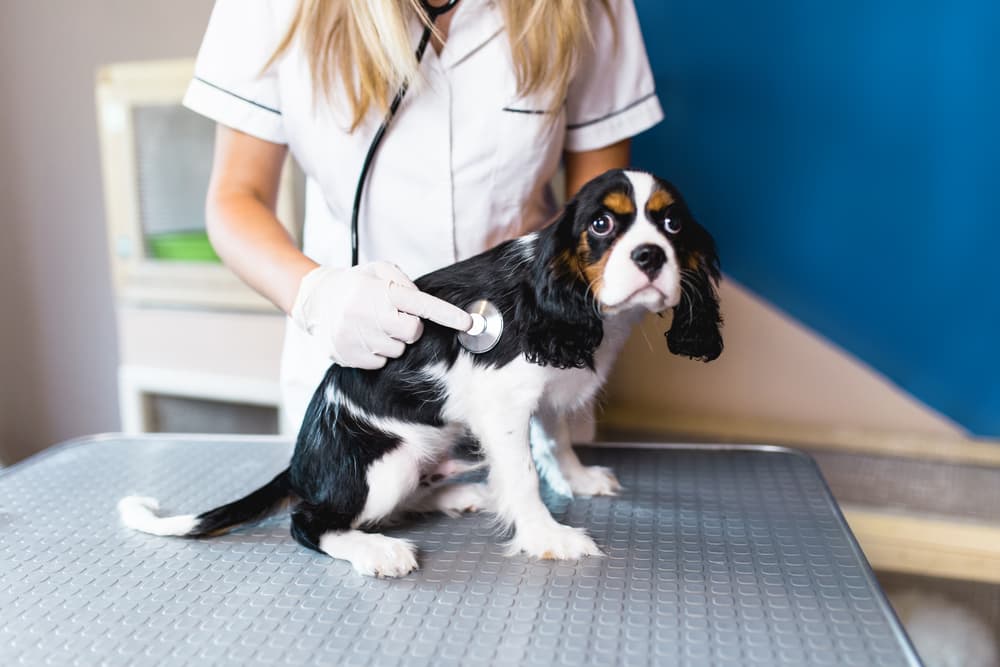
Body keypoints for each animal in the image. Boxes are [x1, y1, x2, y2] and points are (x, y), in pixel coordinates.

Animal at [121, 170, 724, 576]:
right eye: (601, 224)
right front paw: (546, 535)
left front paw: (576, 478)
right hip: (383, 463)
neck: (579, 306)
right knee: (313, 521)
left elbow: (556, 439)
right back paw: (374, 549)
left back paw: (460, 496)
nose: (650, 256)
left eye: (672, 224)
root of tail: (300, 464)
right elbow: (524, 473)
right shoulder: (503, 404)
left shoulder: (549, 388)